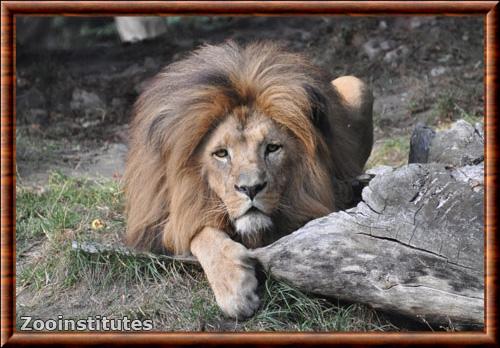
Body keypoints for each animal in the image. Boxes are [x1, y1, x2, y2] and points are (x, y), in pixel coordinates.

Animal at [123, 40, 374, 318]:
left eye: (272, 148)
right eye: (221, 153)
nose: (251, 189)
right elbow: (200, 234)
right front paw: (236, 290)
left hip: (356, 84)